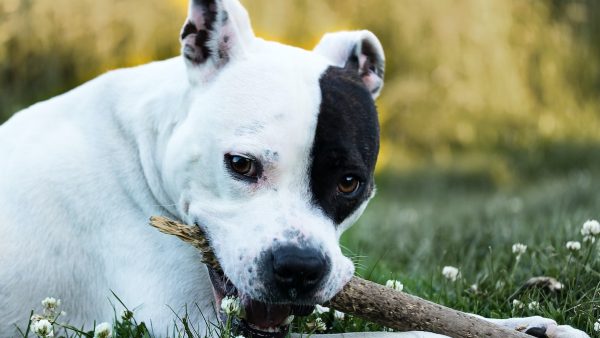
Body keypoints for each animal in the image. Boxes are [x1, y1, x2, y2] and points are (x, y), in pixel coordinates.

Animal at [0, 0, 592, 338]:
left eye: (350, 183)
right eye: (240, 165)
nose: (299, 268)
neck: (141, 149)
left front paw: (528, 326)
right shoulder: (182, 324)